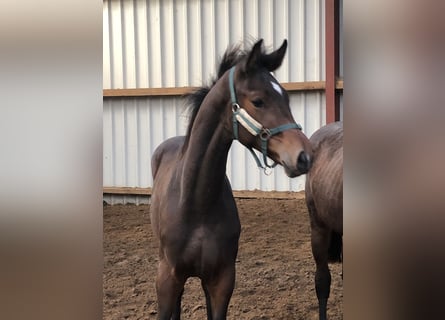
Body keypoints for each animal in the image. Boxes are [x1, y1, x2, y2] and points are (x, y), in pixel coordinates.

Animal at [151, 38, 310, 318]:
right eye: (258, 101)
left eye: (286, 97)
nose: (304, 156)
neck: (196, 204)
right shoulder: (167, 279)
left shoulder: (221, 281)